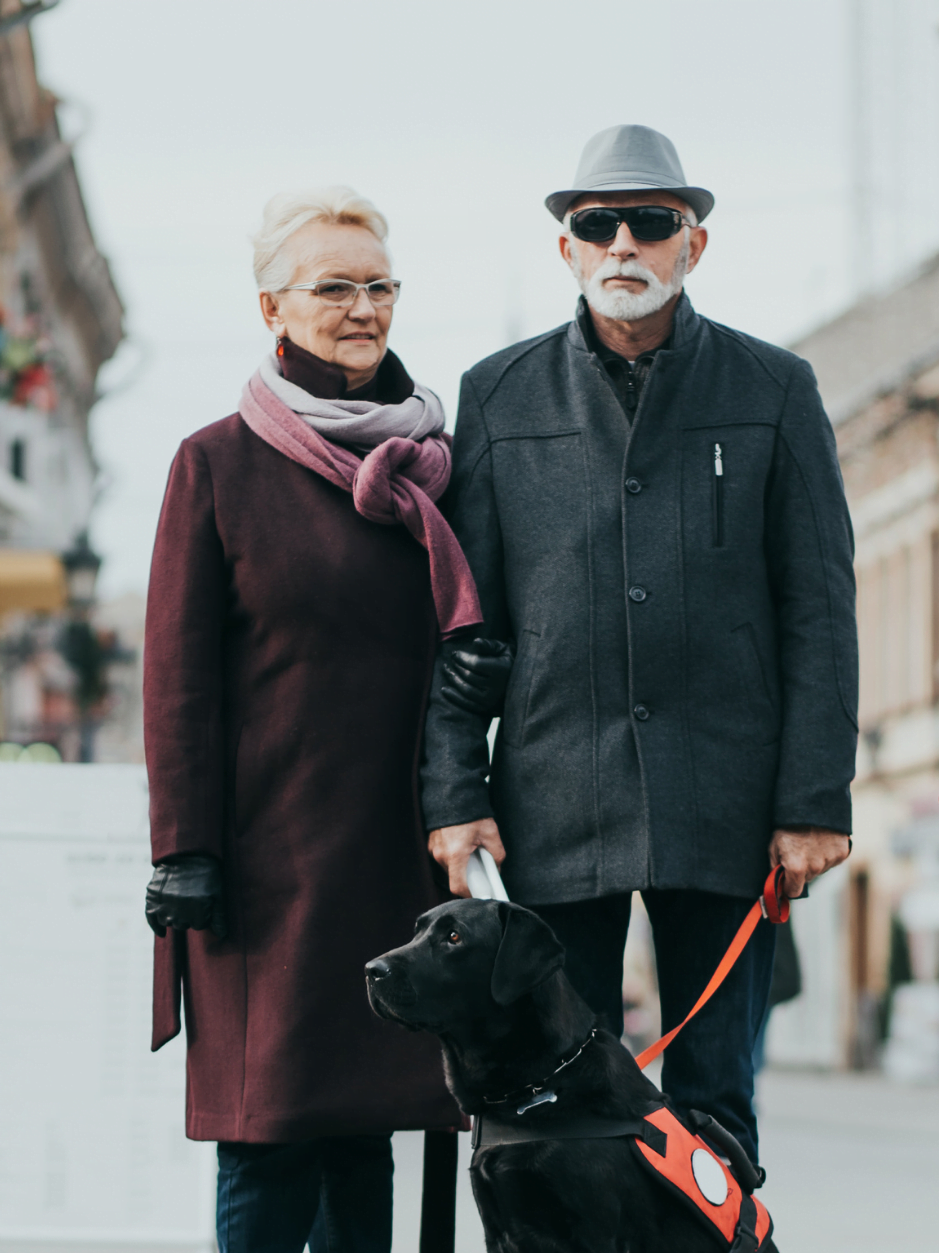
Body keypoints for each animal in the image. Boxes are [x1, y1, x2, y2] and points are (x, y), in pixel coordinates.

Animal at [368, 902, 777, 1253]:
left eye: (454, 937)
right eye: (416, 931)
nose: (371, 969)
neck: (540, 1084)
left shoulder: (595, 1235)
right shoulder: (496, 1229)